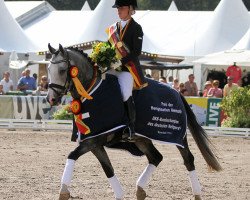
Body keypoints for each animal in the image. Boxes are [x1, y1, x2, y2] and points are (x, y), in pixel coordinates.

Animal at [46, 43, 221, 200]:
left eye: (62, 70)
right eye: (48, 70)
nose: (51, 99)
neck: (91, 92)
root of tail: (177, 93)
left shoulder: (93, 141)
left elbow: (72, 156)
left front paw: (63, 191)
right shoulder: (94, 143)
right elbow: (108, 169)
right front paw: (119, 194)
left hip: (178, 137)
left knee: (188, 159)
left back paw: (196, 194)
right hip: (141, 139)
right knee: (156, 157)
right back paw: (140, 190)